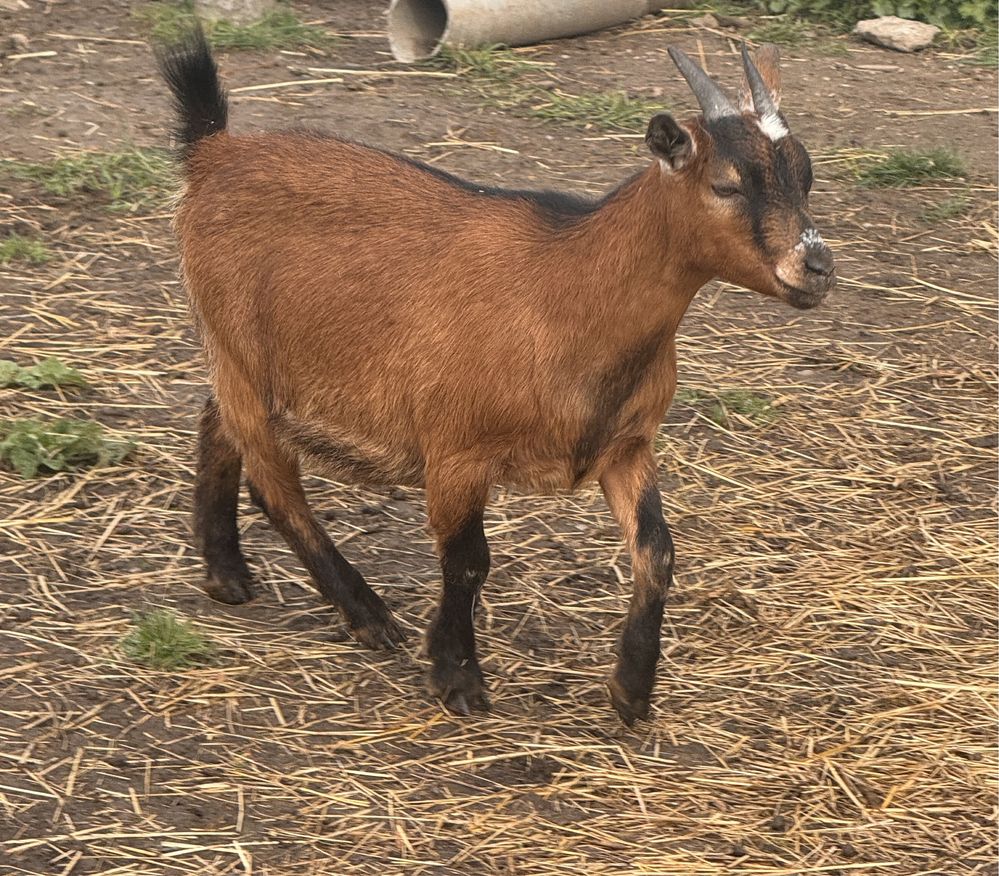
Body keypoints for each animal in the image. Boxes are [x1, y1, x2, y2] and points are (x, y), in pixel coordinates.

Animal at [156, 30, 836, 724]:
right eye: (726, 185)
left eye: (806, 175)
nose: (816, 267)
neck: (566, 290)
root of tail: (214, 152)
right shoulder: (456, 453)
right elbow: (467, 563)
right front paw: (456, 676)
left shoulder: (626, 446)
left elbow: (656, 553)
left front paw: (631, 690)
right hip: (242, 356)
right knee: (273, 484)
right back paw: (368, 615)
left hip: (243, 363)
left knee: (214, 422)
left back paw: (227, 572)